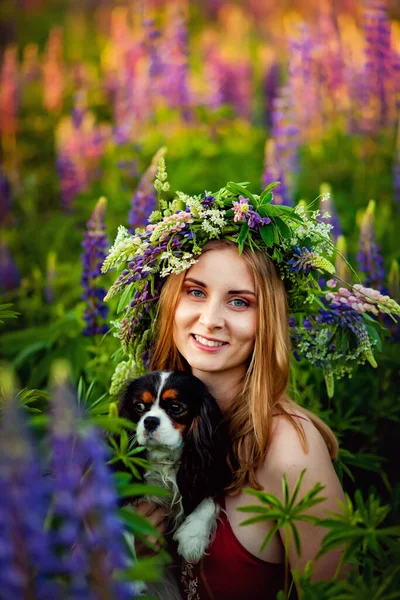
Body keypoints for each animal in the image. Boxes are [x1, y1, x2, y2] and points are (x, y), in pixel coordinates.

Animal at [118, 368, 231, 564]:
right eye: (139, 407)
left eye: (176, 407)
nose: (150, 421)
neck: (164, 461)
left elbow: (210, 495)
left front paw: (193, 538)